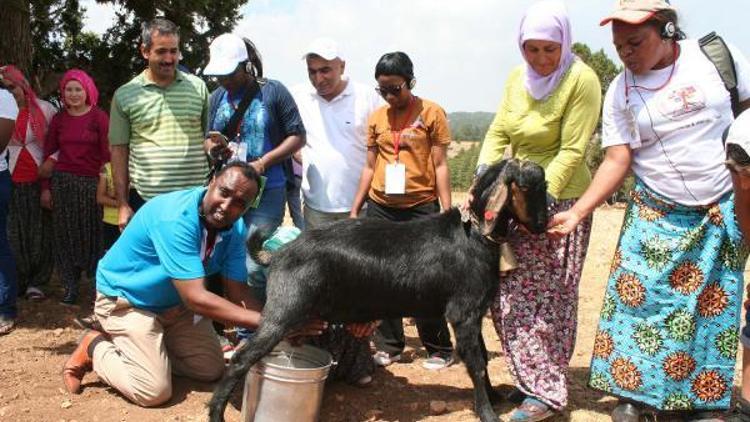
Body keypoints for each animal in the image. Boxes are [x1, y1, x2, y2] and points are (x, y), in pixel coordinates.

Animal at [209, 158, 548, 422]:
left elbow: (483, 359)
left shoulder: (475, 314)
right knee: (241, 359)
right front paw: (488, 413)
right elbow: (476, 364)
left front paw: (494, 398)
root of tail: (279, 253)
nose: (543, 224)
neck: (474, 236)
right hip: (283, 310)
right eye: (530, 186)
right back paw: (216, 413)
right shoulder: (463, 313)